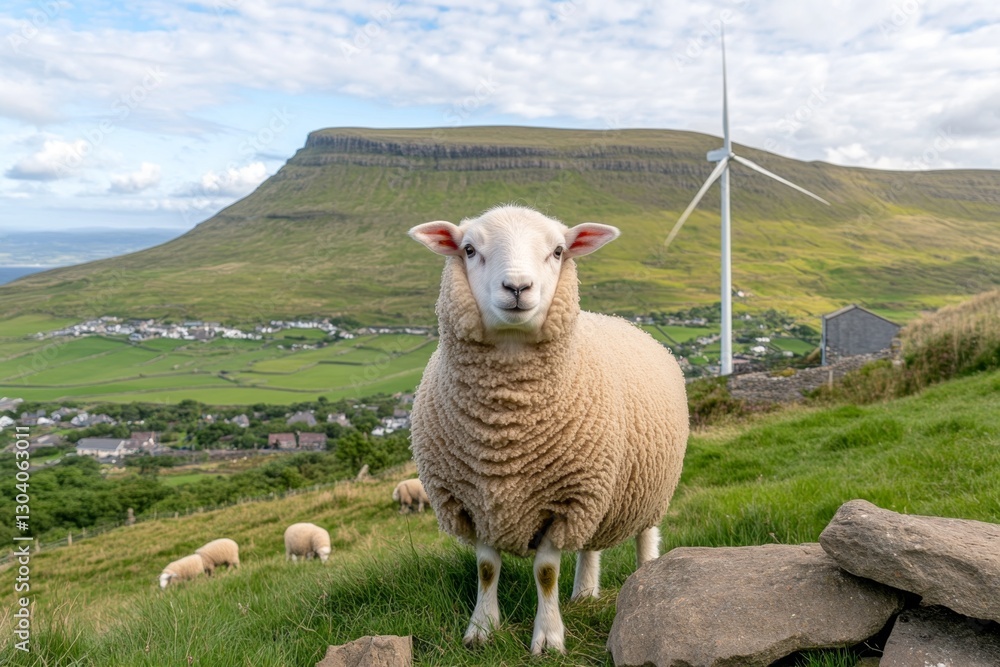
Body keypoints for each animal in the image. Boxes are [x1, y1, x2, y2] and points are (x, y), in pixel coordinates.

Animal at [407, 205, 689, 654]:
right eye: (469, 249)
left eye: (558, 251)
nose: (517, 287)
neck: (506, 427)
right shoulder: (475, 499)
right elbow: (486, 567)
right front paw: (481, 629)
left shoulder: (565, 500)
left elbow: (545, 573)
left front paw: (548, 637)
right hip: (601, 497)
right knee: (590, 546)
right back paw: (584, 594)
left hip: (647, 489)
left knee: (646, 537)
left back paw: (648, 577)